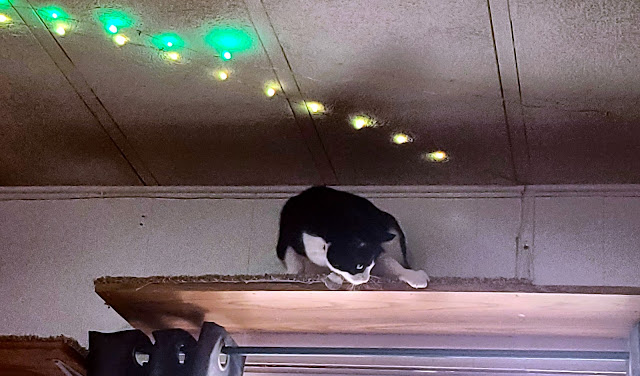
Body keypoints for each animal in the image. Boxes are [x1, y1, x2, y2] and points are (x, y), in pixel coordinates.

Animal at [276, 187, 430, 290]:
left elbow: (390, 263)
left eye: (369, 263)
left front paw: (413, 276)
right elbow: (293, 260)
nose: (364, 279)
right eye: (358, 266)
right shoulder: (289, 237)